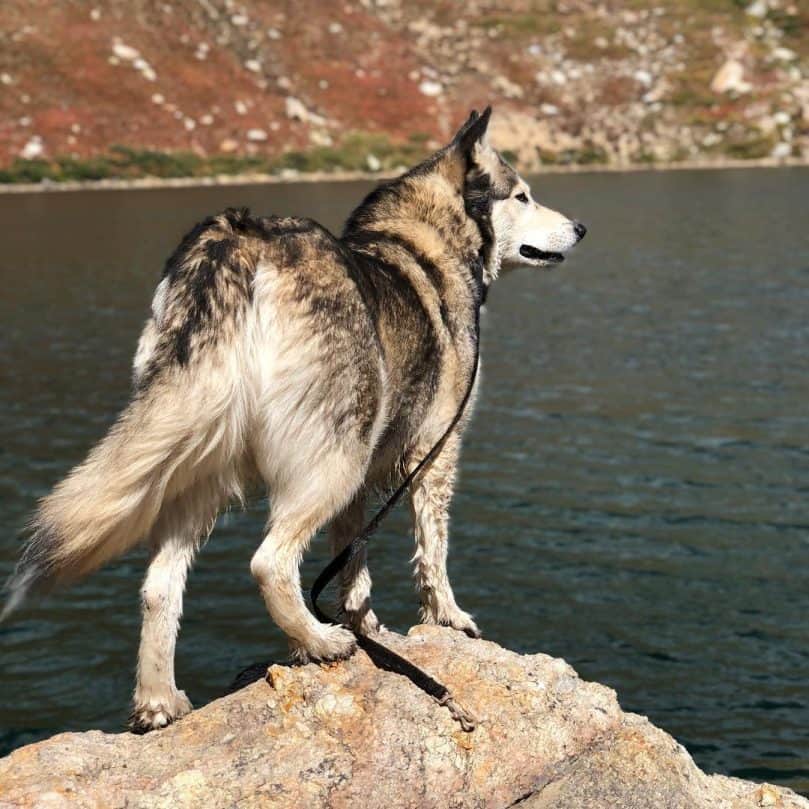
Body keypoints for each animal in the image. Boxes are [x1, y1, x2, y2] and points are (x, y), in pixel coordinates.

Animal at [0, 104, 584, 728]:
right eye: (522, 195)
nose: (580, 228)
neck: (423, 244)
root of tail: (240, 238)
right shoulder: (434, 455)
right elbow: (432, 552)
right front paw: (445, 618)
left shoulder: (365, 482)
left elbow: (353, 562)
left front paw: (366, 623)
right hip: (332, 460)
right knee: (269, 563)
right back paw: (319, 641)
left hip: (203, 466)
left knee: (160, 586)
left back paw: (159, 700)